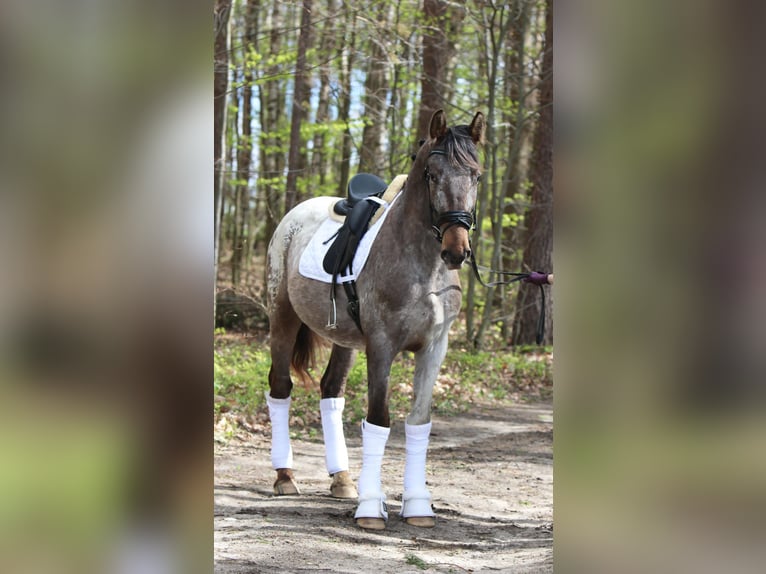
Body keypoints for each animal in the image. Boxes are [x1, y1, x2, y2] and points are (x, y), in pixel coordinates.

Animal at [264, 110, 486, 532]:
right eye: (432, 174)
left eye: (477, 175)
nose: (456, 250)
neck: (423, 266)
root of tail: (293, 218)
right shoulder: (382, 346)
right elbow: (379, 419)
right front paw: (371, 507)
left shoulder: (435, 347)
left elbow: (418, 421)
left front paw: (417, 505)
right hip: (282, 316)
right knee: (280, 386)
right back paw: (285, 476)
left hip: (344, 339)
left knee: (331, 391)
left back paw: (342, 480)